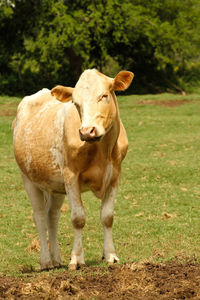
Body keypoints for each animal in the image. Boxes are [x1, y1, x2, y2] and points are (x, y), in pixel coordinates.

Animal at [12, 69, 134, 270]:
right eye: (76, 103)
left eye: (104, 95)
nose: (86, 131)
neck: (102, 150)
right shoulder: (71, 177)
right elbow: (78, 218)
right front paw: (76, 259)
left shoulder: (115, 175)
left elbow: (107, 216)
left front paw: (110, 255)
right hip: (28, 178)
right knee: (39, 217)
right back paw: (46, 261)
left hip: (55, 186)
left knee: (52, 216)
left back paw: (56, 259)